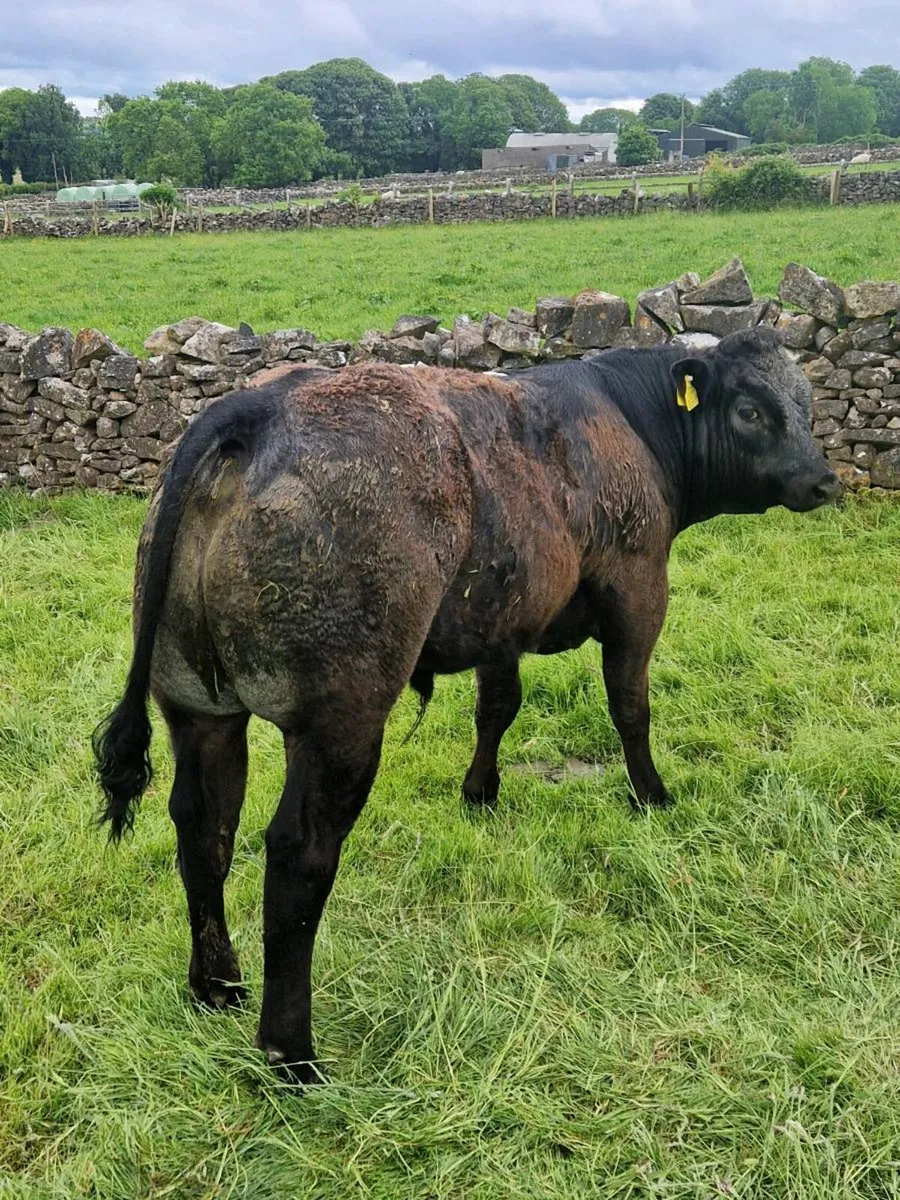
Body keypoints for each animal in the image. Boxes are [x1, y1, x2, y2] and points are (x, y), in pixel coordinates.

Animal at [93, 327, 840, 1083]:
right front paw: (651, 795)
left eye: (807, 402)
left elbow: (498, 707)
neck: (629, 417)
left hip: (197, 705)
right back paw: (292, 1053)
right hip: (343, 718)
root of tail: (259, 403)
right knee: (298, 854)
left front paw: (480, 792)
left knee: (203, 828)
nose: (823, 480)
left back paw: (216, 984)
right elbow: (630, 706)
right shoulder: (637, 586)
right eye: (750, 409)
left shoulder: (502, 617)